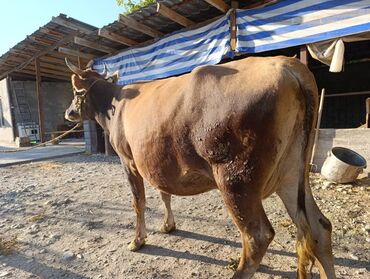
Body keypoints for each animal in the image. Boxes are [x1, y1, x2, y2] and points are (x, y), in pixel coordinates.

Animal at [65, 55, 336, 278]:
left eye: (75, 90)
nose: (69, 113)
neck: (114, 105)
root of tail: (287, 65)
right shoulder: (158, 161)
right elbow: (164, 193)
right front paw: (168, 225)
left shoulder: (128, 159)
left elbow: (138, 201)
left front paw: (137, 240)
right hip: (292, 173)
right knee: (320, 227)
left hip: (236, 179)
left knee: (257, 236)